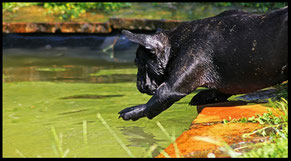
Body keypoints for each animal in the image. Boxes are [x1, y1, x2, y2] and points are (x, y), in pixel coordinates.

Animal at [118, 6, 288, 121]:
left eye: (139, 64)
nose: (139, 86)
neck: (173, 43)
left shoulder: (172, 88)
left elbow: (156, 101)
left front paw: (133, 111)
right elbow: (222, 89)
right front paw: (206, 95)